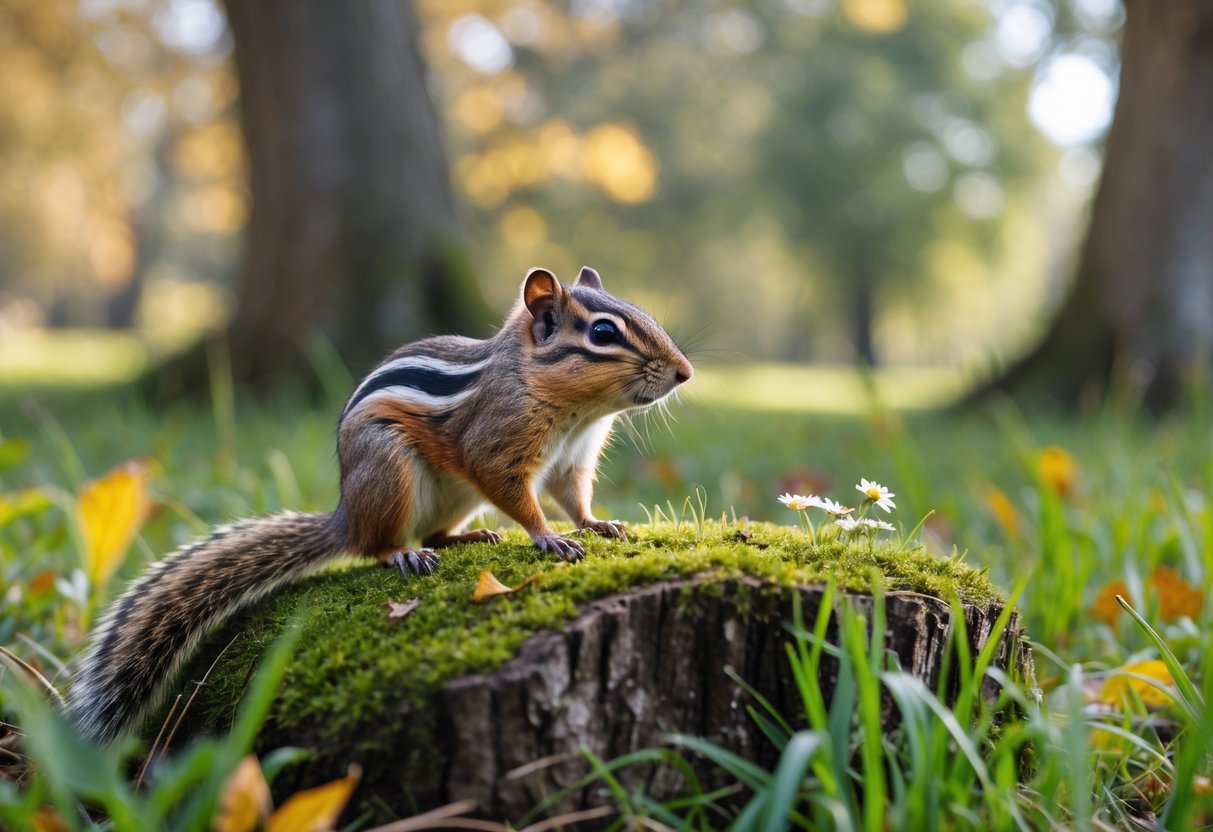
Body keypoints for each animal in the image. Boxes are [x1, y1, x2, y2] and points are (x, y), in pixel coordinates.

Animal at [66, 266, 693, 743]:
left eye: (638, 310)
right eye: (604, 332)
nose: (685, 372)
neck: (569, 408)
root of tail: (345, 515)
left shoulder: (572, 460)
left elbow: (573, 497)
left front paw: (597, 524)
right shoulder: (496, 446)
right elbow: (518, 494)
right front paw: (549, 538)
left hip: (454, 497)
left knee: (435, 533)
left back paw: (471, 536)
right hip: (389, 472)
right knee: (378, 546)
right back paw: (401, 555)